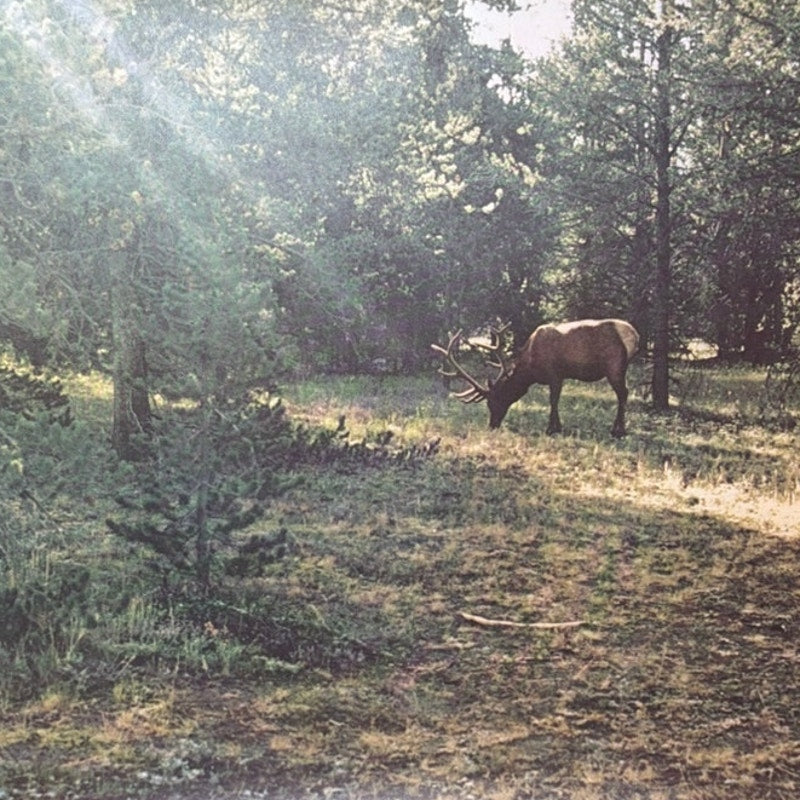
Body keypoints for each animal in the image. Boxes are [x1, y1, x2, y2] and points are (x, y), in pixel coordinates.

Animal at [432, 319, 639, 437]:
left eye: (494, 401)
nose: (492, 425)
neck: (530, 369)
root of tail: (635, 336)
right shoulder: (558, 377)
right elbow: (554, 400)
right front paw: (556, 427)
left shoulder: (555, 374)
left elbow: (553, 400)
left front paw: (552, 429)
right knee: (624, 393)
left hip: (615, 366)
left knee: (623, 393)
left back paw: (618, 430)